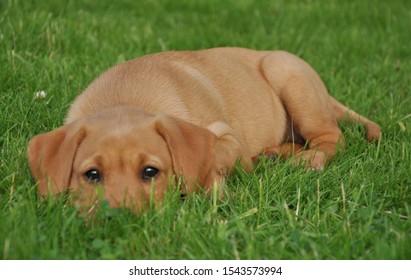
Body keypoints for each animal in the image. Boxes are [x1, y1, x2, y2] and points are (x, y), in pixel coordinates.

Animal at [28, 47, 384, 211]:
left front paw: (213, 186)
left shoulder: (225, 135)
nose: (120, 219)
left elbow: (212, 155)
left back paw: (307, 161)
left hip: (286, 73)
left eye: (150, 172)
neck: (124, 95)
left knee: (331, 138)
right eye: (92, 176)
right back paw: (274, 154)